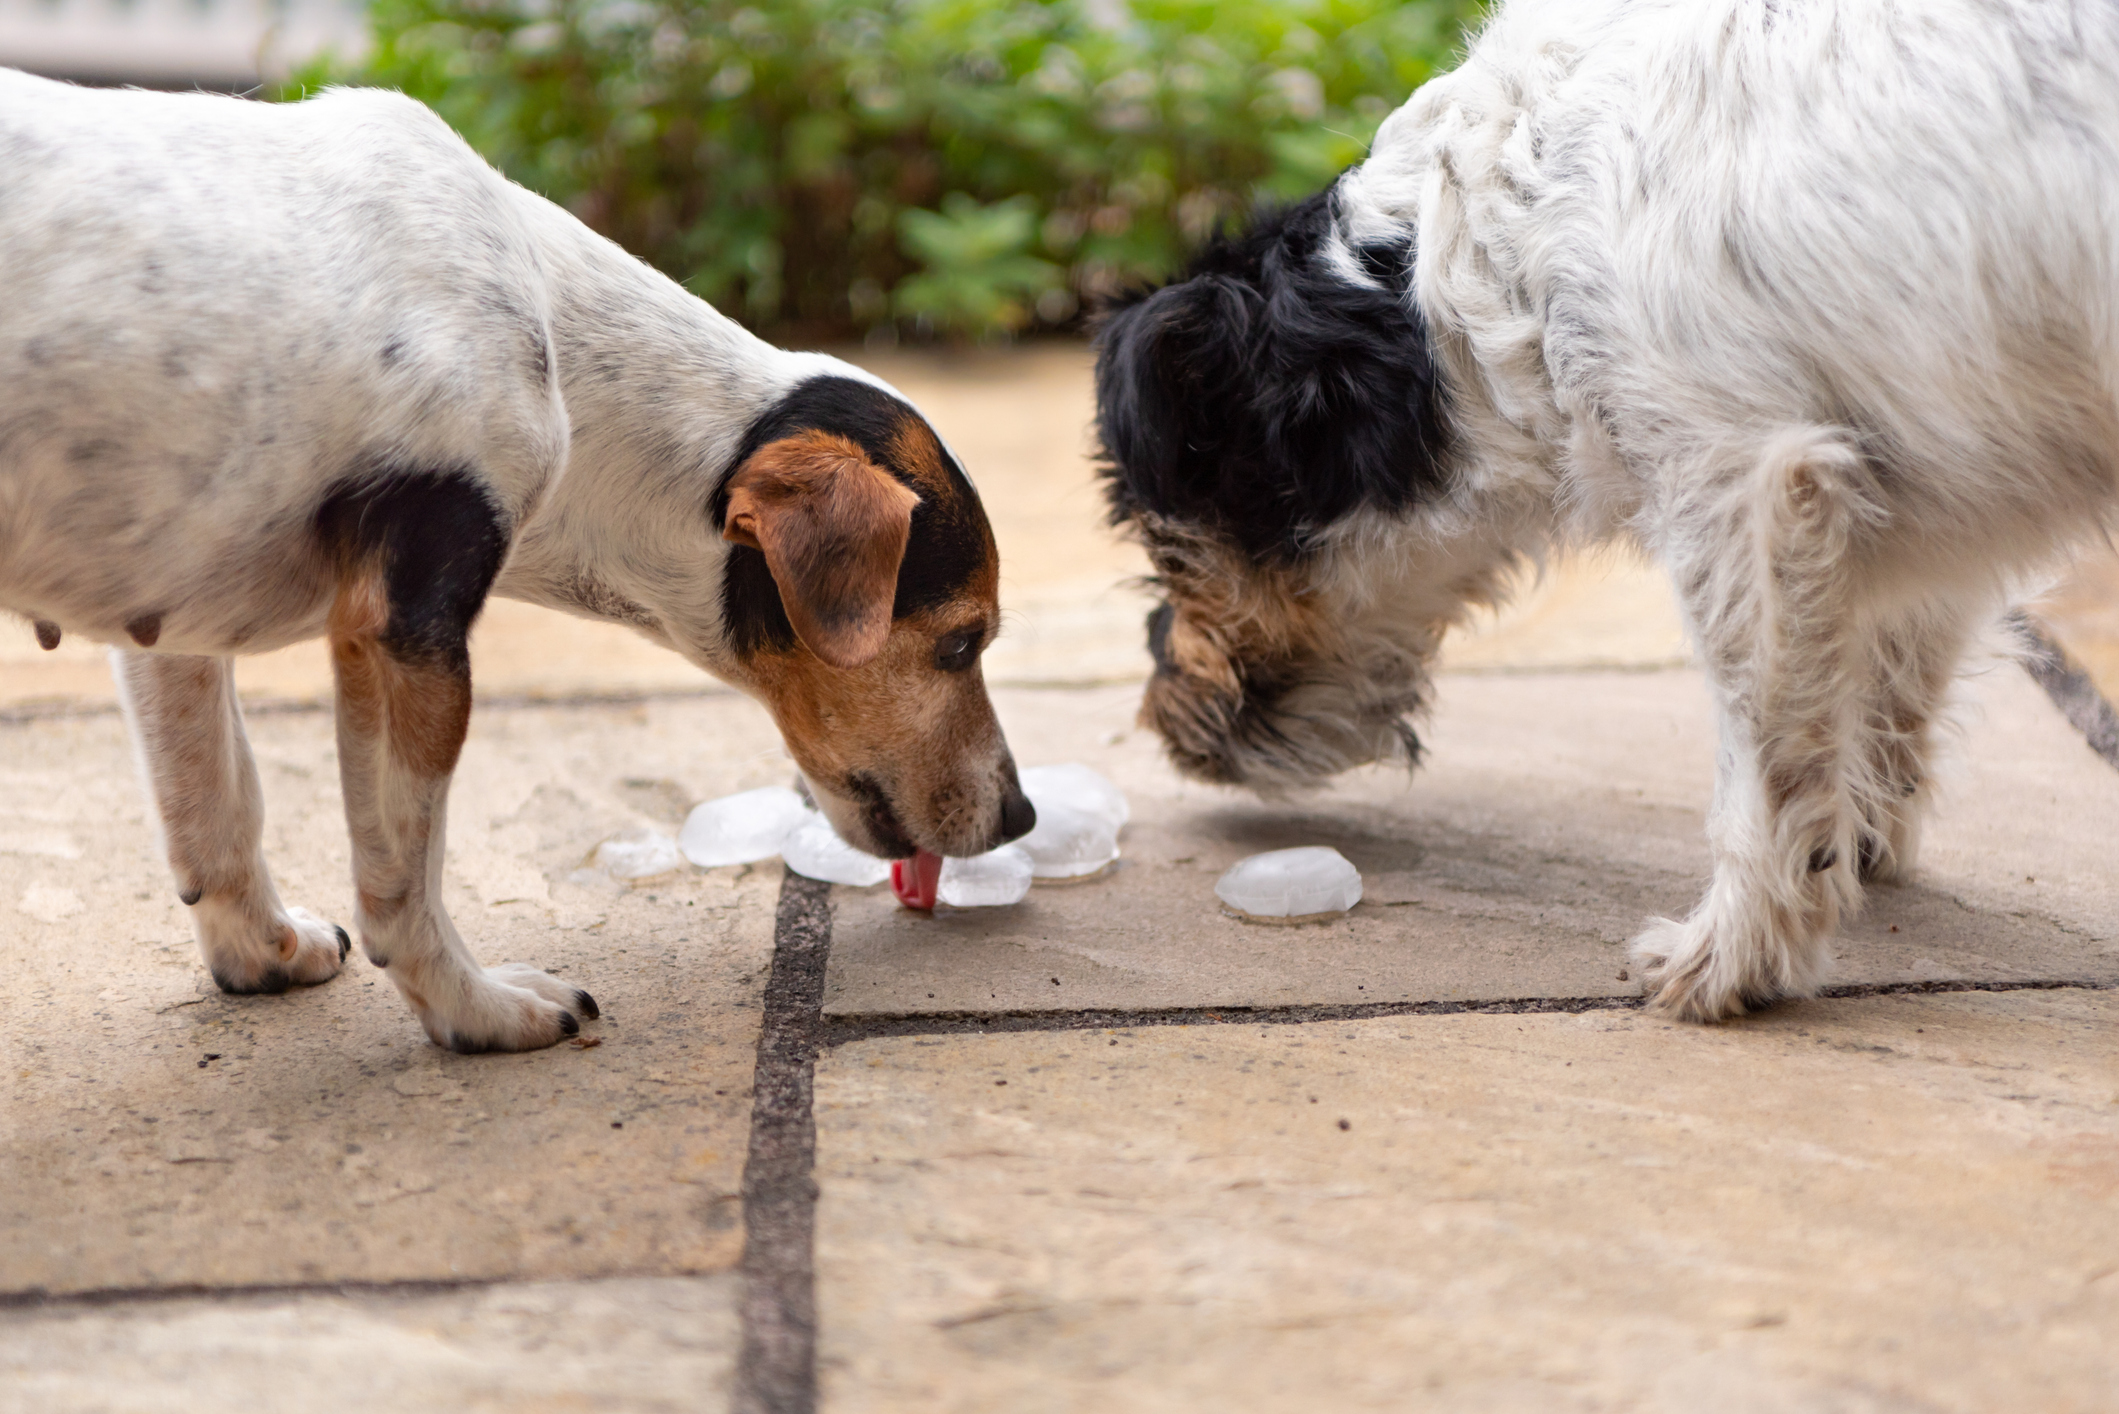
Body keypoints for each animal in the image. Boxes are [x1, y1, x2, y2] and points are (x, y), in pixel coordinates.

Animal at [0, 72, 1034, 1055]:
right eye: (959, 644)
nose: (1021, 815)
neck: (553, 333)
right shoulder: (404, 631)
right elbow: (404, 872)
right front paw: (475, 1009)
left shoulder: (166, 617)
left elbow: (217, 803)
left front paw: (261, 949)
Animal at [1093, 0, 2119, 1021]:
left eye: (1163, 543)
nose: (1149, 711)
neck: (1487, 239)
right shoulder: (1924, 508)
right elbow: (1884, 687)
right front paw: (1854, 851)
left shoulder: (1743, 485)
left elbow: (1764, 756)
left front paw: (1734, 957)